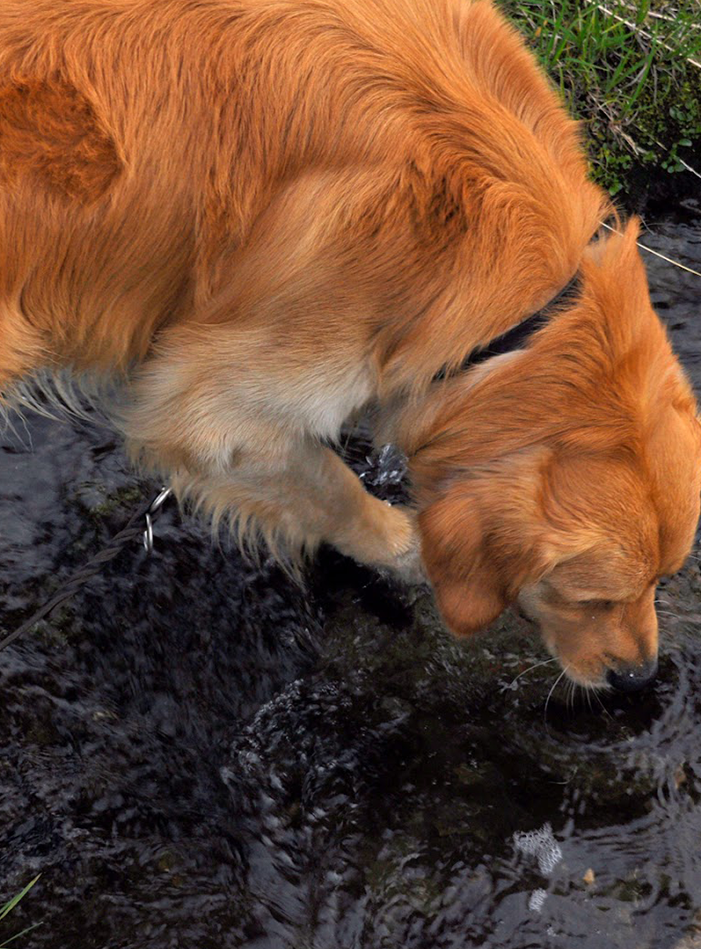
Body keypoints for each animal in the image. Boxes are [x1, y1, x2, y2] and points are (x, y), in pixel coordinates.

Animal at [1, 0, 700, 688]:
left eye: (663, 581)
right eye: (592, 599)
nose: (641, 678)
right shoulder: (222, 413)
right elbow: (337, 492)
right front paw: (413, 551)